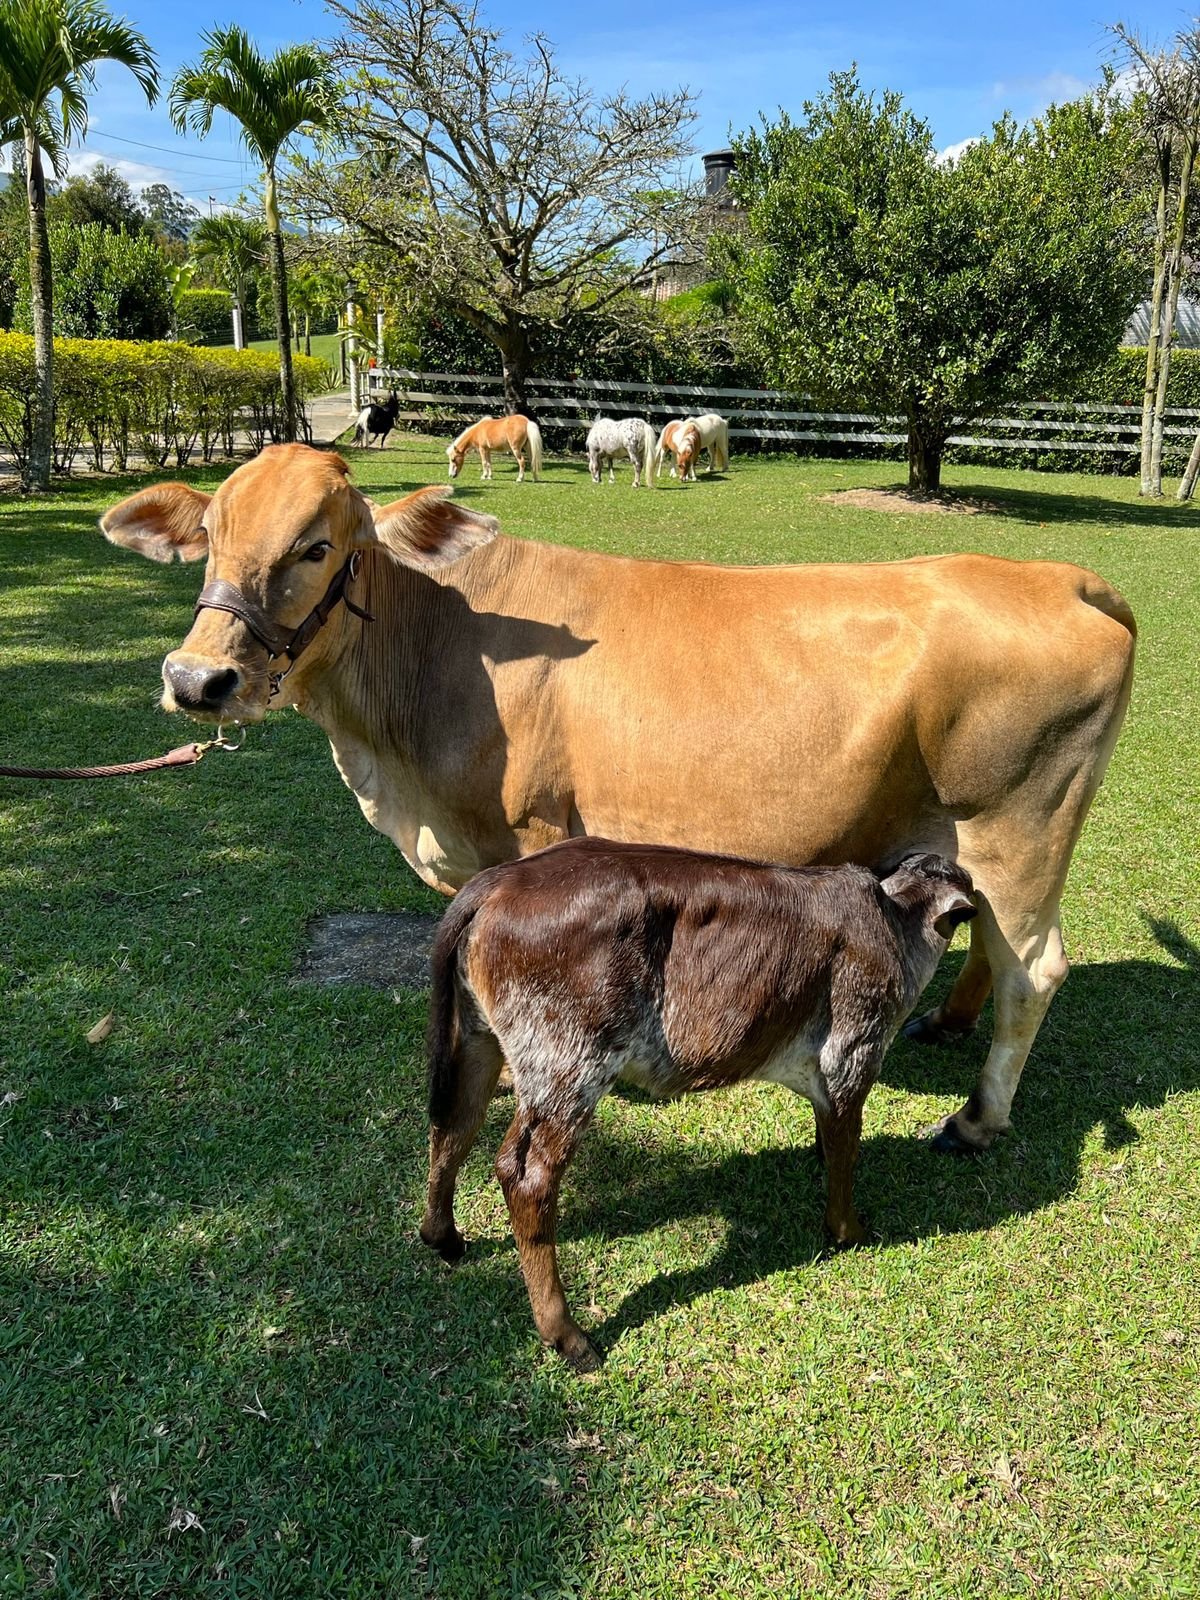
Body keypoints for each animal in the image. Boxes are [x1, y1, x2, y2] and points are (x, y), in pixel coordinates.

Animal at [99, 443, 1136, 1158]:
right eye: (210, 541)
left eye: (317, 546)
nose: (197, 679)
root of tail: (1058, 575)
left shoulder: (526, 838)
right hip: (988, 839)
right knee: (990, 940)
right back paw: (949, 1023)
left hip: (1020, 828)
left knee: (1034, 968)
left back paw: (977, 1118)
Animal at [419, 839, 978, 1370]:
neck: (896, 923)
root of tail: (497, 882)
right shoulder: (853, 1050)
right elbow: (846, 1152)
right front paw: (849, 1230)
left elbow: (830, 1138)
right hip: (571, 1063)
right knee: (526, 1177)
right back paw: (566, 1334)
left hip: (478, 1039)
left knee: (454, 1126)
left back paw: (443, 1237)